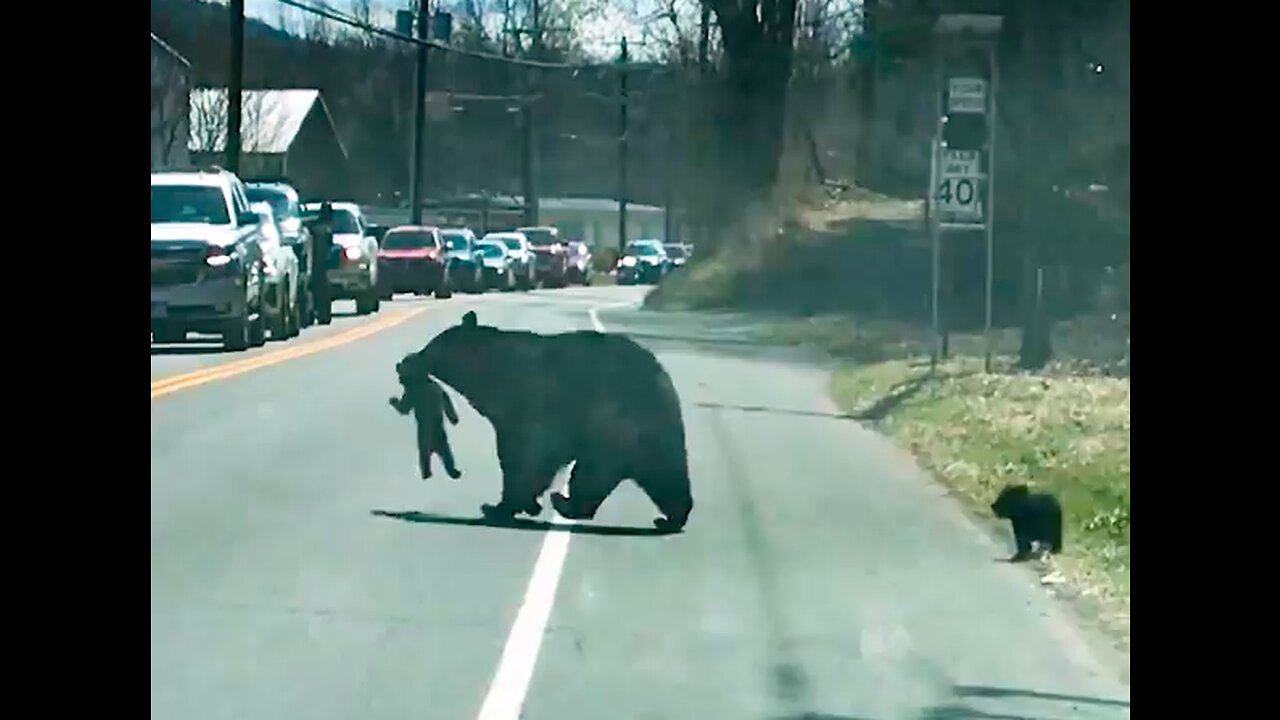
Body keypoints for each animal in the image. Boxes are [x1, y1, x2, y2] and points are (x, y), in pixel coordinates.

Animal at [404, 311, 696, 530]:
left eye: (432, 346)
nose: (407, 360)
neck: (493, 372)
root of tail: (664, 379)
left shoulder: (530, 402)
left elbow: (528, 455)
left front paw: (504, 505)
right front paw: (518, 504)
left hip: (618, 424)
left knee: (596, 473)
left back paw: (564, 501)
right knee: (662, 476)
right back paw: (671, 517)